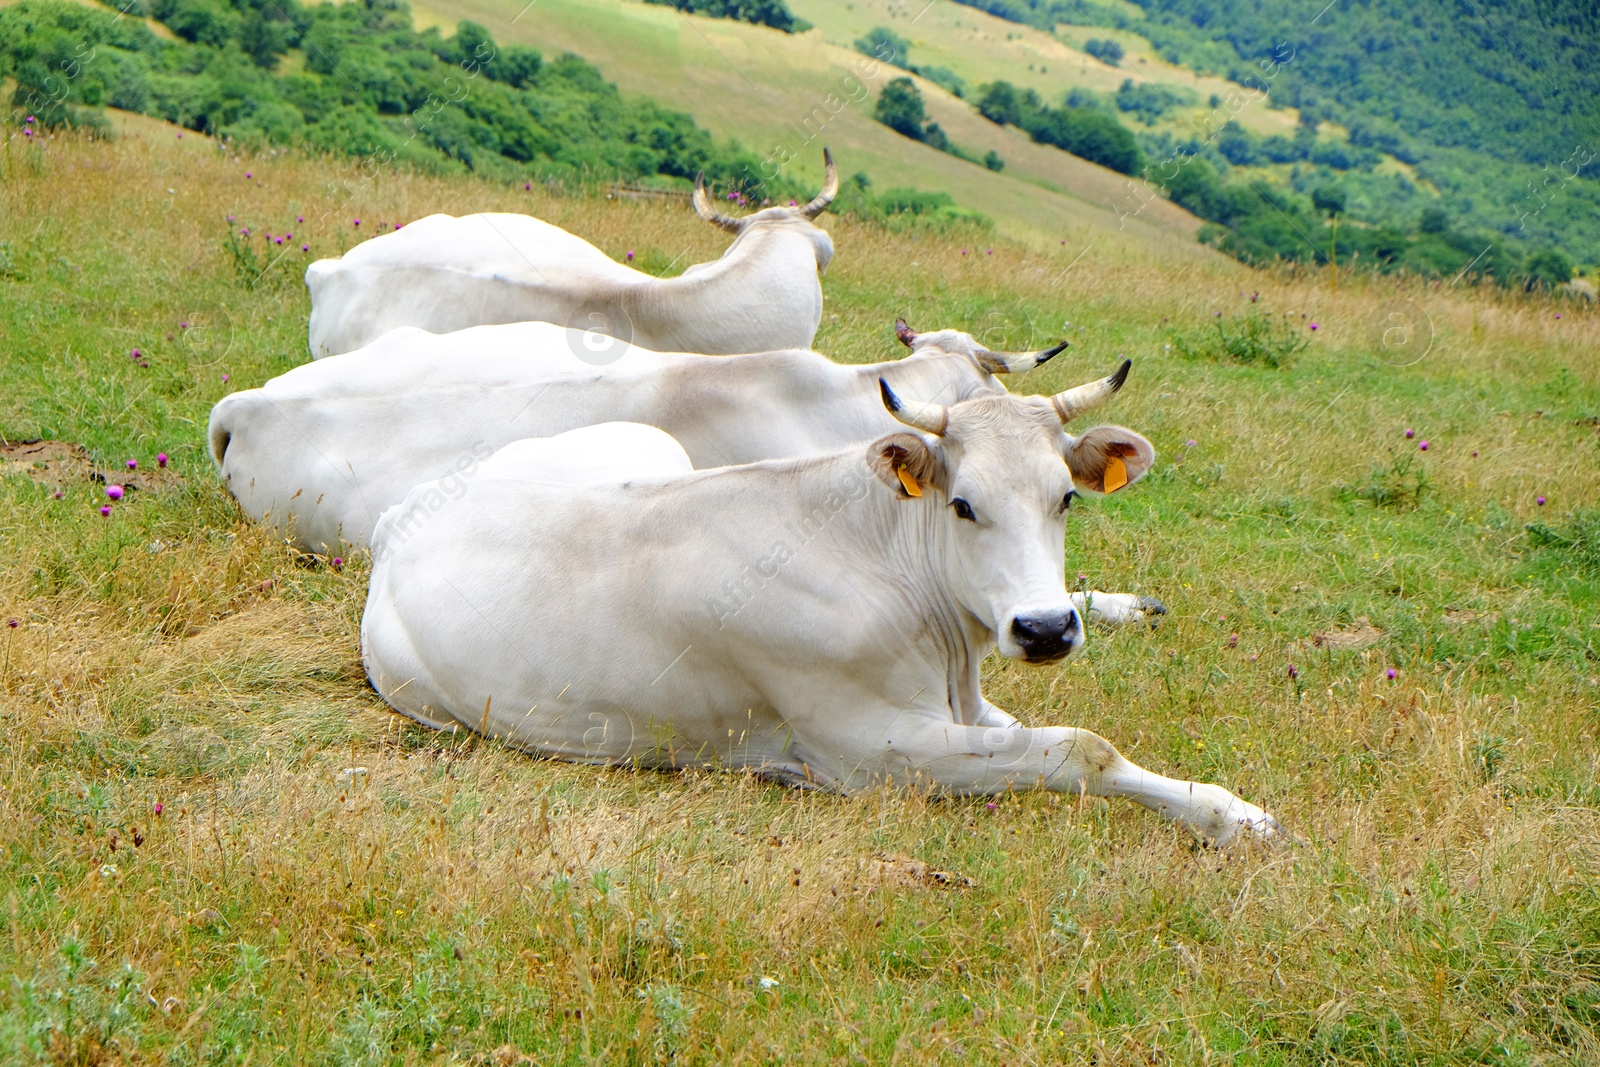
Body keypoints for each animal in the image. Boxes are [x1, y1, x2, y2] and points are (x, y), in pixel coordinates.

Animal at [363, 367, 1273, 844]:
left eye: (1066, 498)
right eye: (963, 504)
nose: (1046, 627)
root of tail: (401, 513)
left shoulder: (963, 707)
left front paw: (1232, 810)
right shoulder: (873, 748)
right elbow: (1083, 746)